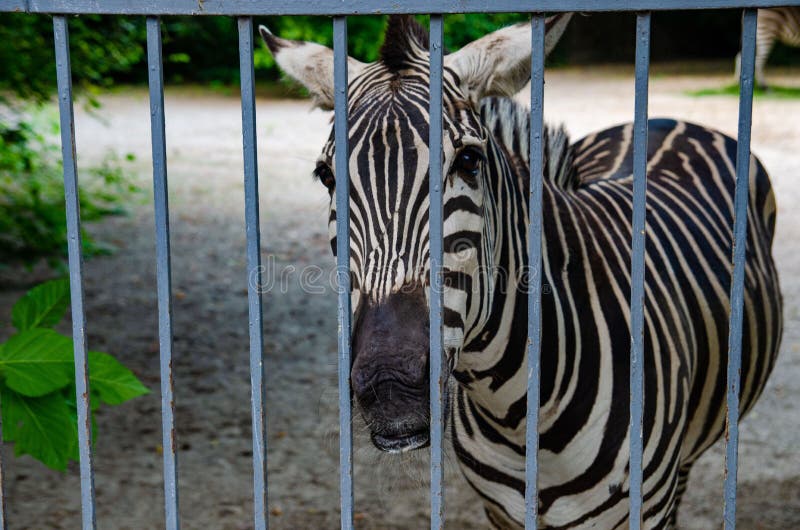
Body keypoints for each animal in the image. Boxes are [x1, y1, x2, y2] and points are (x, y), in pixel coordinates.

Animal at [260, 14, 782, 529]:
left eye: (469, 160)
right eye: (326, 176)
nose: (390, 384)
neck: (517, 412)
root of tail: (669, 120)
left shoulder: (645, 508)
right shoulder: (501, 511)